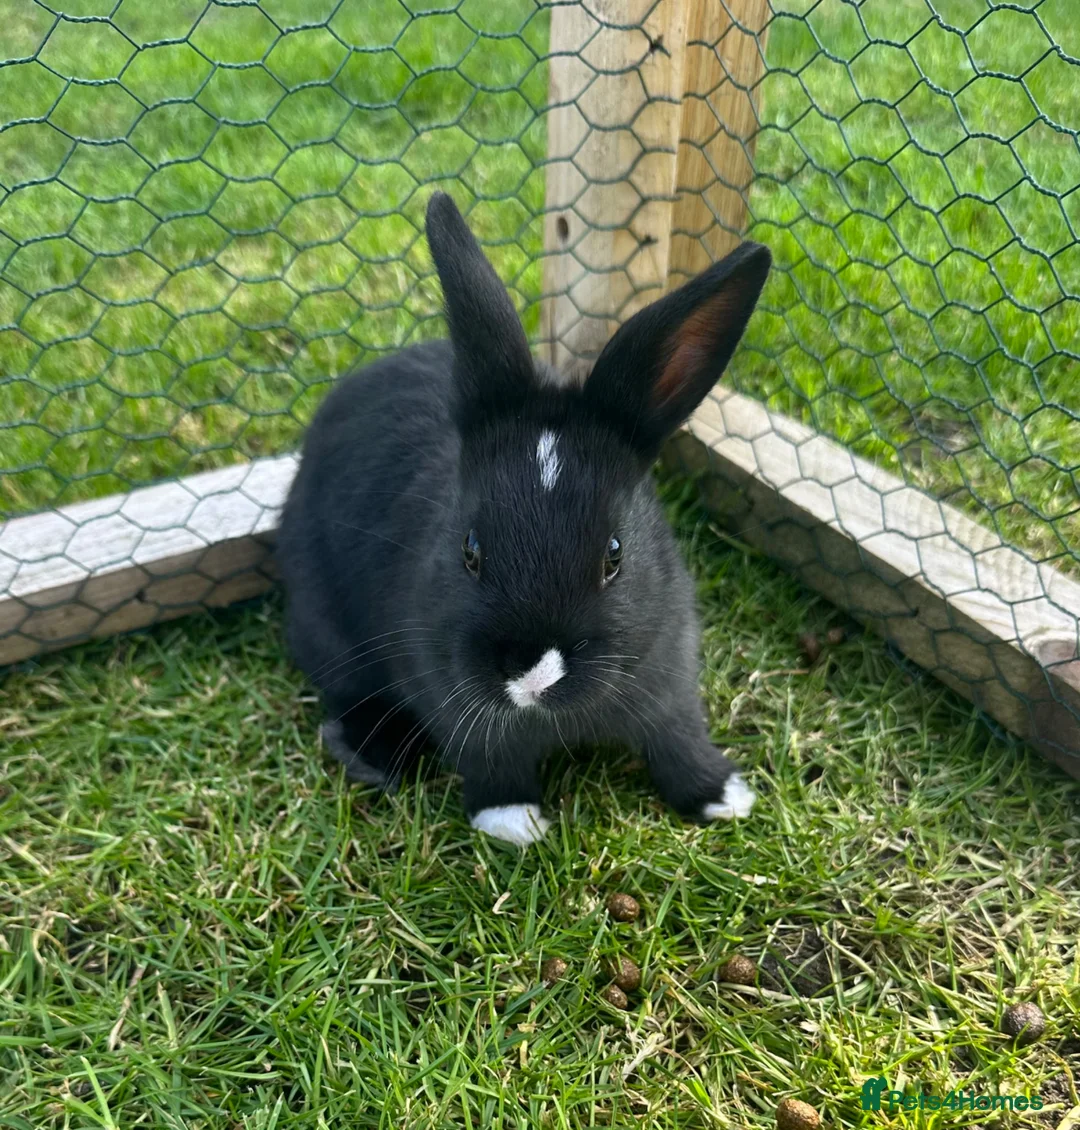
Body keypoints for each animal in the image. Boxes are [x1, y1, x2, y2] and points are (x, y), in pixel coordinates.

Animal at [275, 191, 771, 846]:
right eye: (469, 550)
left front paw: (723, 796)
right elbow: (491, 760)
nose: (533, 676)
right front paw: (515, 822)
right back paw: (372, 758)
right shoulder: (457, 706)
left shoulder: (671, 690)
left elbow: (679, 742)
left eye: (615, 555)